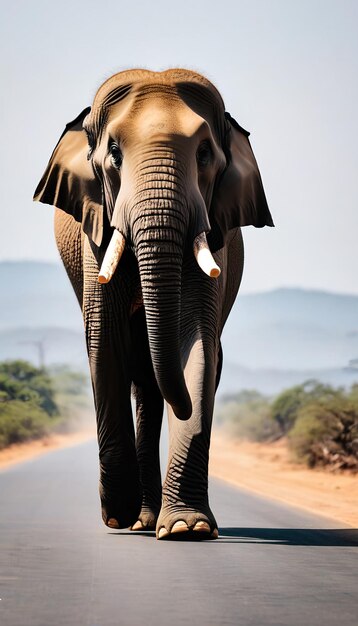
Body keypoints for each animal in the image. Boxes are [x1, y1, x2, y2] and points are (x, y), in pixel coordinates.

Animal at [34, 67, 274, 536]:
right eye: (114, 154)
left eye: (205, 154)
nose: (186, 407)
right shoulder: (97, 227)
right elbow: (105, 340)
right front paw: (117, 514)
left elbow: (195, 339)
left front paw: (186, 528)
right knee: (141, 379)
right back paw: (139, 521)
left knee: (152, 382)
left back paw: (151, 520)